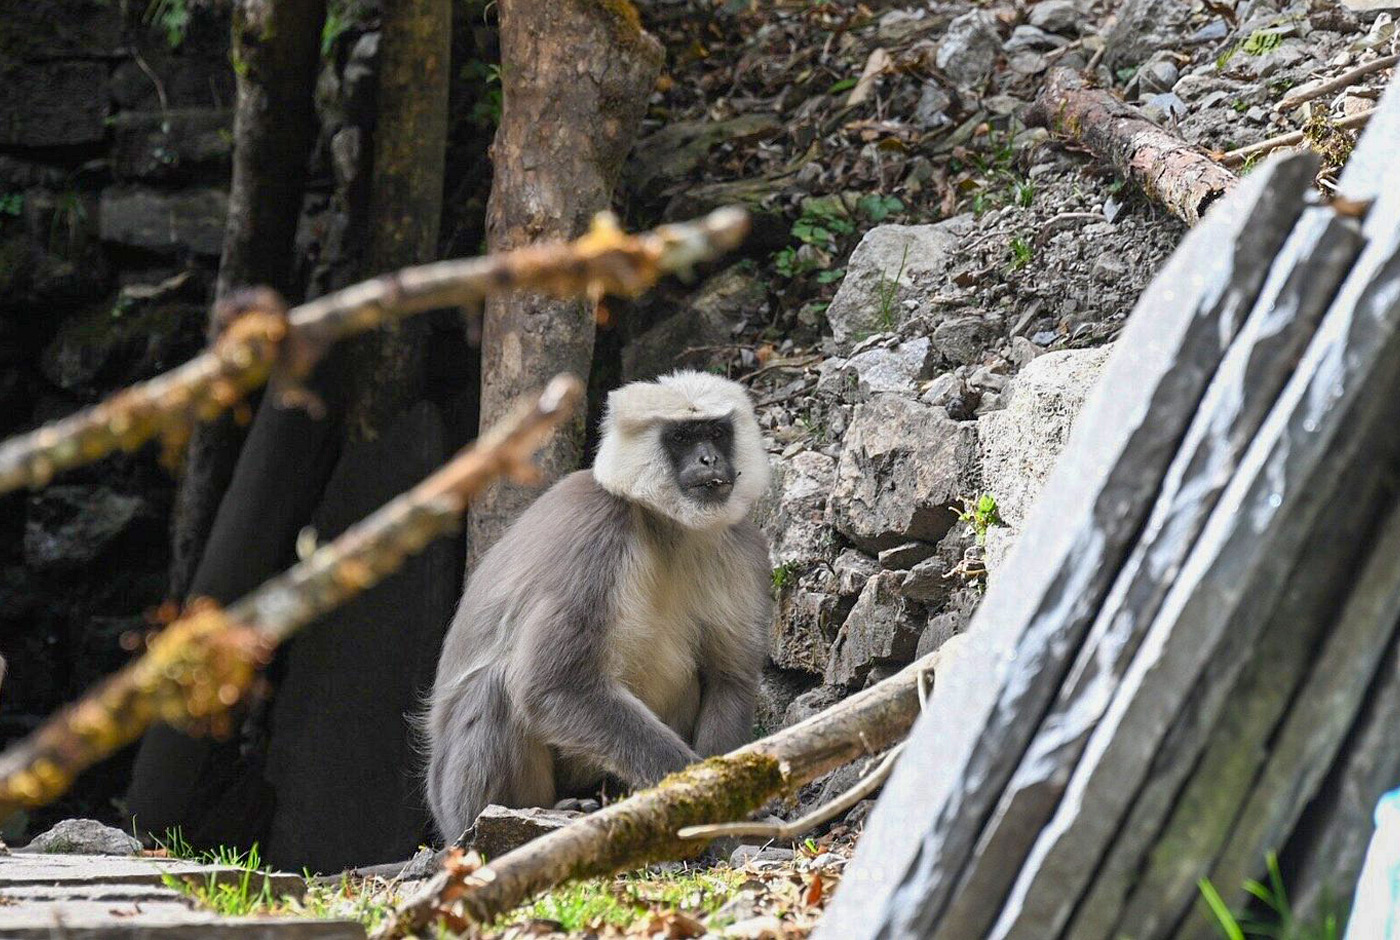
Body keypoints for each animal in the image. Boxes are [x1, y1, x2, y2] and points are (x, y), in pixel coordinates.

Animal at [422, 372, 778, 840]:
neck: (667, 527)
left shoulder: (743, 546)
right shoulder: (598, 534)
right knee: (497, 687)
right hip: (456, 801)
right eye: (682, 437)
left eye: (717, 433)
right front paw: (706, 798)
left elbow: (728, 678)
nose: (708, 459)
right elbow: (554, 685)